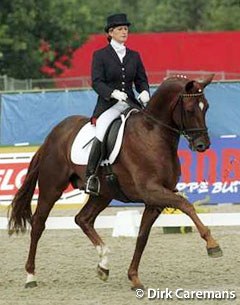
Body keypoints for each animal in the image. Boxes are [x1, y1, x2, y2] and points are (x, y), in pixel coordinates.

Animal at [8, 73, 222, 288]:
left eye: (206, 107)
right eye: (190, 109)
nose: (203, 144)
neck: (153, 134)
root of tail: (53, 134)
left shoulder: (154, 201)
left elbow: (142, 237)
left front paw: (134, 277)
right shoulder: (151, 190)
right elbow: (186, 205)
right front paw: (212, 245)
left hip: (103, 194)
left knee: (83, 219)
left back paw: (103, 264)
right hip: (52, 187)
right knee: (38, 224)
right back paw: (30, 276)